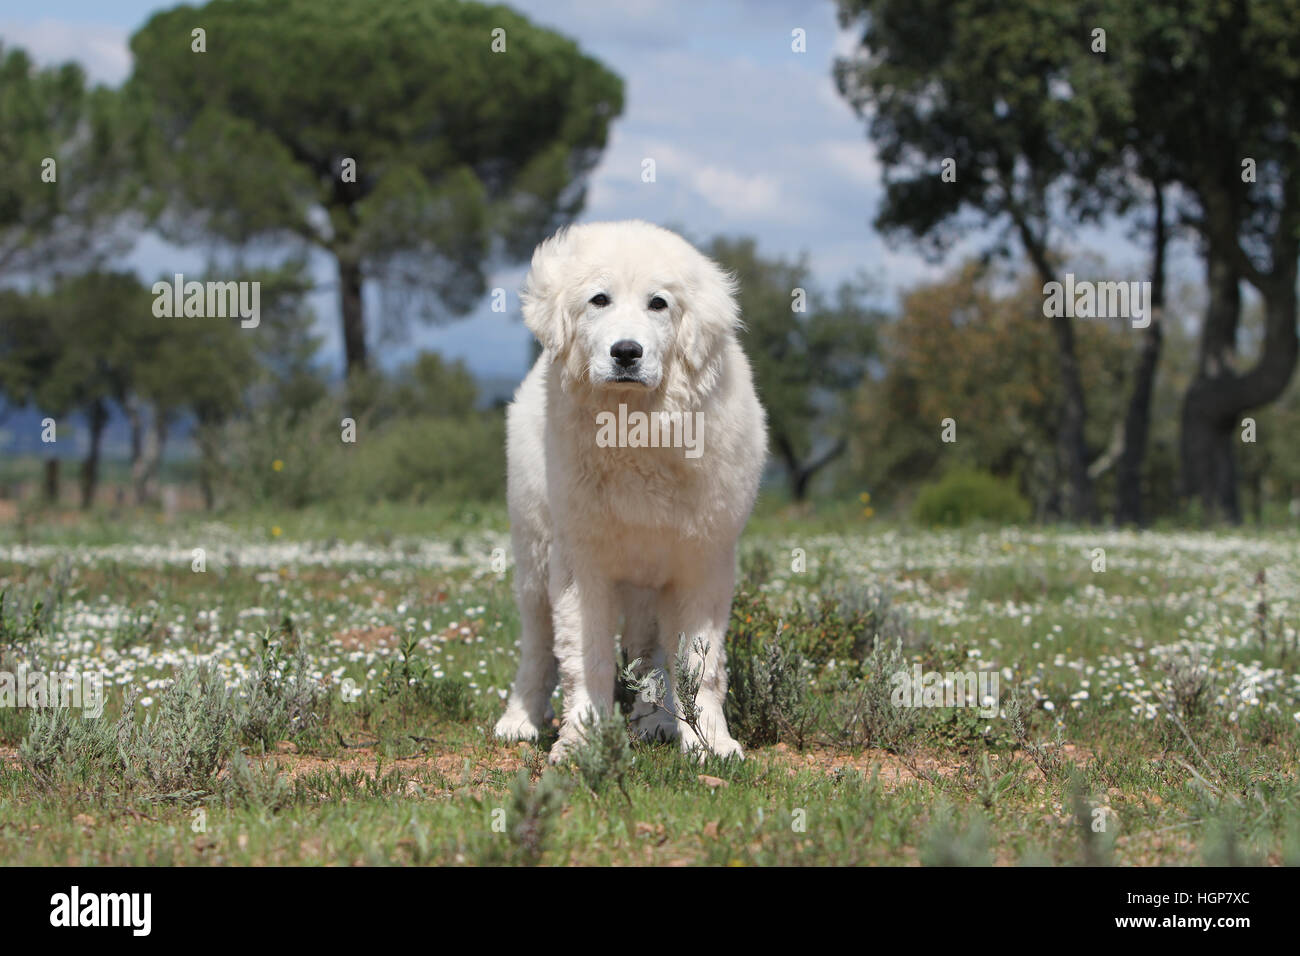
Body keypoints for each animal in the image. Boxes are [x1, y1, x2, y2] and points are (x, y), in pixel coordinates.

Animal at [491, 222, 764, 764]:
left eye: (658, 304)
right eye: (600, 299)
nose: (626, 352)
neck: (633, 427)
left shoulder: (703, 564)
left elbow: (701, 665)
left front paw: (710, 743)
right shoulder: (581, 563)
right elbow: (585, 658)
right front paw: (582, 742)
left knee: (649, 653)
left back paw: (656, 720)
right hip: (534, 556)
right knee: (537, 647)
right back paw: (520, 719)